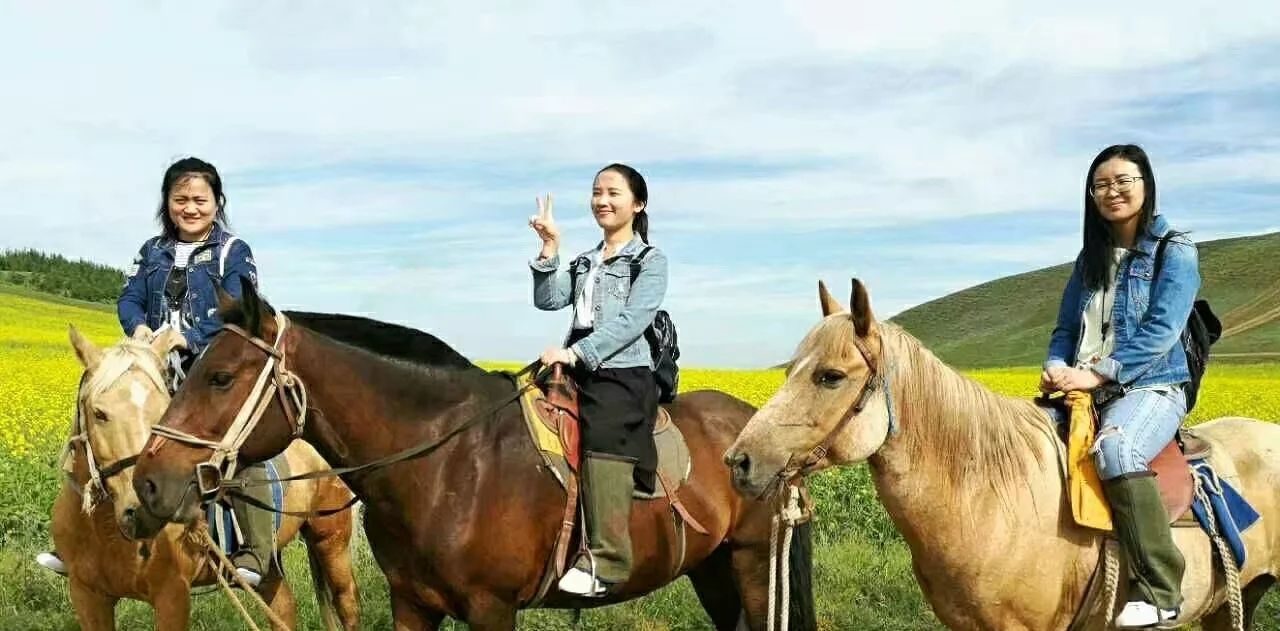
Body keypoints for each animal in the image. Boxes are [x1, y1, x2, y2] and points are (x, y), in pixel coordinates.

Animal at [50, 327, 360, 627]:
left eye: (163, 409)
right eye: (99, 413)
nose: (143, 509)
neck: (106, 532)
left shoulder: (172, 596)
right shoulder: (87, 596)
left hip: (331, 540)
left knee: (347, 603)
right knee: (283, 606)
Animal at [124, 282, 814, 627]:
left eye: (221, 377)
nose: (149, 482)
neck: (446, 463)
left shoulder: (491, 611)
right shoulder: (413, 606)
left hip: (753, 565)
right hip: (713, 569)